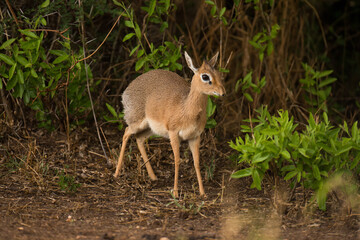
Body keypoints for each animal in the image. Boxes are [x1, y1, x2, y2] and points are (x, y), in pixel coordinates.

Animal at [114, 50, 225, 197]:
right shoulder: (173, 133)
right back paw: (116, 174)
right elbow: (177, 161)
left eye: (218, 74)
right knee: (126, 133)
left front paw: (203, 193)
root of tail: (126, 90)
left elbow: (196, 162)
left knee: (139, 139)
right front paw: (176, 192)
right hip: (137, 122)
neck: (186, 109)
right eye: (205, 76)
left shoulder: (195, 137)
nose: (222, 93)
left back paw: (153, 176)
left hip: (150, 129)